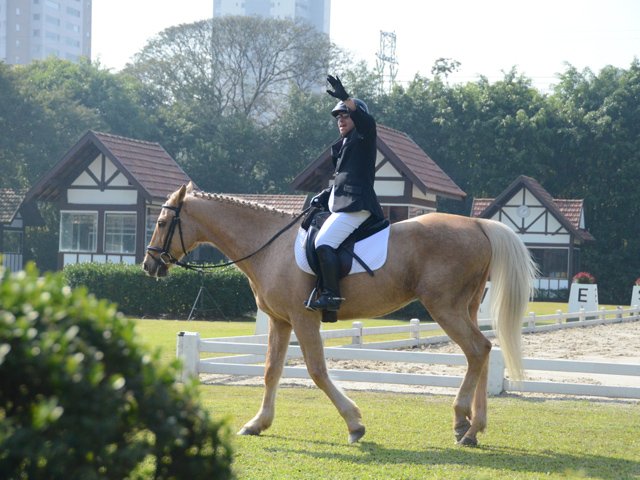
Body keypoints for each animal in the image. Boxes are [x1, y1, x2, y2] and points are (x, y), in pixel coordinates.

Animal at [143, 182, 537, 446]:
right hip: (465, 307)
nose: (149, 265)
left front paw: (355, 424)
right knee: (483, 351)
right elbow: (271, 372)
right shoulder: (281, 321)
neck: (270, 245)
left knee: (477, 350)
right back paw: (473, 426)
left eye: (161, 222)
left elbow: (317, 371)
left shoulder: (304, 319)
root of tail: (478, 225)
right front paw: (257, 424)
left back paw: (463, 423)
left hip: (445, 307)